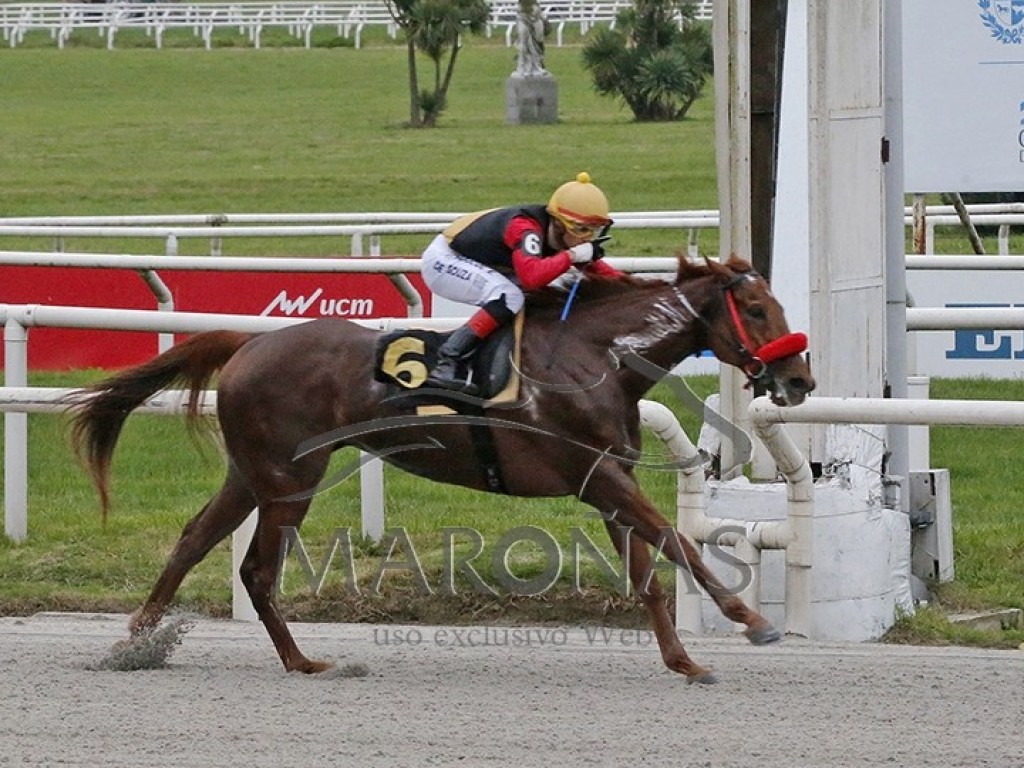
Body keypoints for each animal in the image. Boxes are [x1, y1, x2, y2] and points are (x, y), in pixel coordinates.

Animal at [68, 256, 815, 688]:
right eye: (755, 309)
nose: (799, 379)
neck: (598, 356)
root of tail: (248, 344)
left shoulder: (609, 485)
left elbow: (650, 573)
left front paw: (684, 660)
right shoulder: (600, 476)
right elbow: (678, 542)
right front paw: (752, 620)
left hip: (253, 474)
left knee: (196, 538)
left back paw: (139, 641)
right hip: (289, 477)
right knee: (253, 568)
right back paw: (295, 660)